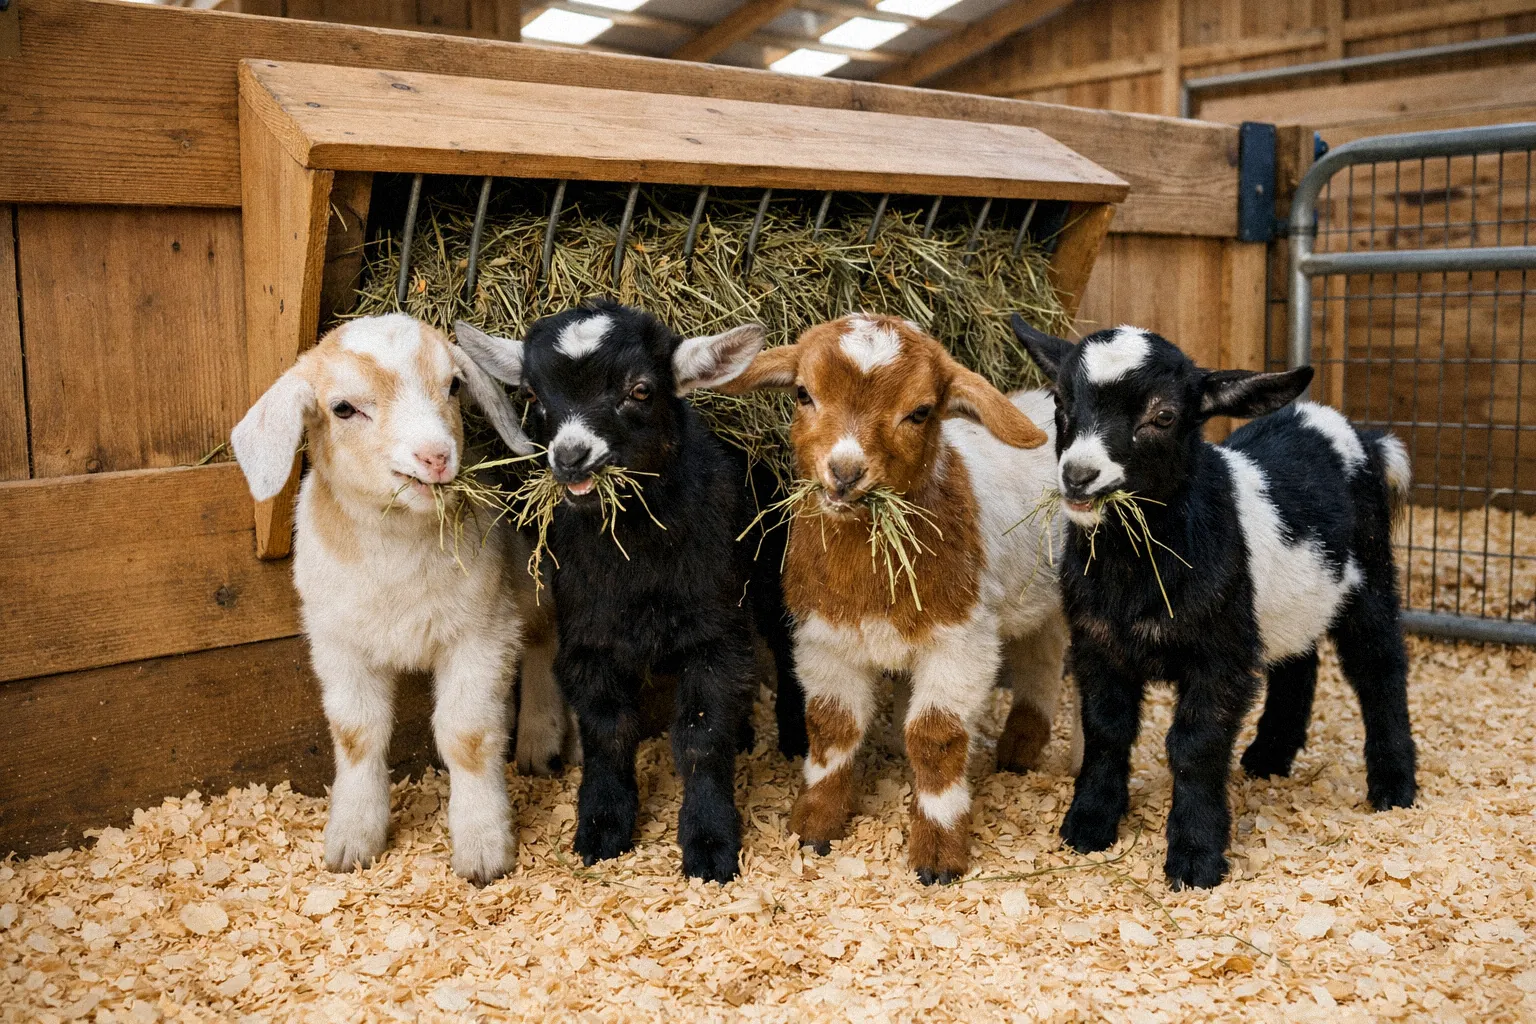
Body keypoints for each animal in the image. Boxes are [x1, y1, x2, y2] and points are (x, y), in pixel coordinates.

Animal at [230, 313, 571, 884]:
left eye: (453, 385)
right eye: (343, 408)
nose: (435, 456)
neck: (399, 546)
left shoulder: (480, 632)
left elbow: (468, 737)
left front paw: (483, 848)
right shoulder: (339, 643)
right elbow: (356, 735)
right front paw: (352, 839)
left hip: (527, 581)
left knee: (545, 640)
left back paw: (540, 741)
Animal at [455, 300, 803, 884]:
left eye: (639, 389)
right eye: (533, 396)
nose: (572, 456)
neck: (637, 556)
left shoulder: (714, 633)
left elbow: (701, 735)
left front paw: (710, 844)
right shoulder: (588, 639)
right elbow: (608, 729)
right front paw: (600, 827)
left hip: (772, 570)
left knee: (786, 645)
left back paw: (796, 737)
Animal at [725, 314, 1077, 884]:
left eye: (920, 412)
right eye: (803, 394)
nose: (845, 473)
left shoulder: (961, 642)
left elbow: (936, 737)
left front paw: (938, 851)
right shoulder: (824, 638)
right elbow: (832, 726)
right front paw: (815, 825)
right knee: (1040, 655)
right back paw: (1019, 748)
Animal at [1012, 316, 1418, 890]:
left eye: (1163, 416)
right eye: (1061, 402)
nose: (1079, 476)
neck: (1137, 567)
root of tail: (1351, 431)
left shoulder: (1219, 656)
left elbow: (1195, 746)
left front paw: (1195, 856)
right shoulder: (1098, 644)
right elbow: (1107, 730)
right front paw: (1088, 826)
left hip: (1370, 573)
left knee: (1379, 666)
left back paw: (1393, 787)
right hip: (1288, 599)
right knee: (1299, 661)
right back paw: (1270, 756)